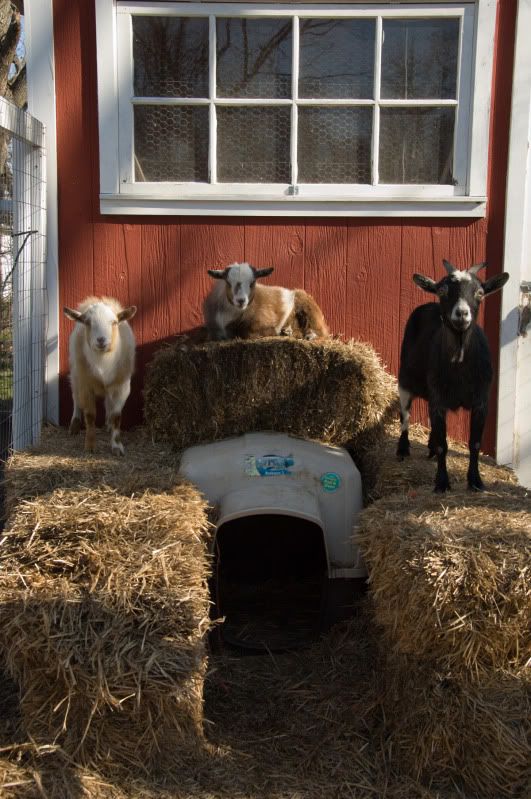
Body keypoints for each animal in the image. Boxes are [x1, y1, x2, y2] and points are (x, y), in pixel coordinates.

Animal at [63, 297, 137, 456]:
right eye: (87, 322)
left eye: (114, 322)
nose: (101, 340)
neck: (103, 362)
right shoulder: (86, 385)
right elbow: (90, 415)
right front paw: (90, 446)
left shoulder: (121, 386)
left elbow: (116, 416)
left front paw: (117, 446)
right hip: (75, 372)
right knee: (75, 396)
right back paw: (74, 424)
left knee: (108, 403)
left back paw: (108, 424)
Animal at [396, 260, 509, 492]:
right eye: (443, 291)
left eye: (480, 293)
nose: (462, 314)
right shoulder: (438, 399)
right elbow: (443, 445)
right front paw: (441, 483)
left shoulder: (481, 401)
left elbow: (475, 443)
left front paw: (475, 481)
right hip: (405, 378)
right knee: (405, 414)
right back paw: (402, 449)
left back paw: (428, 446)